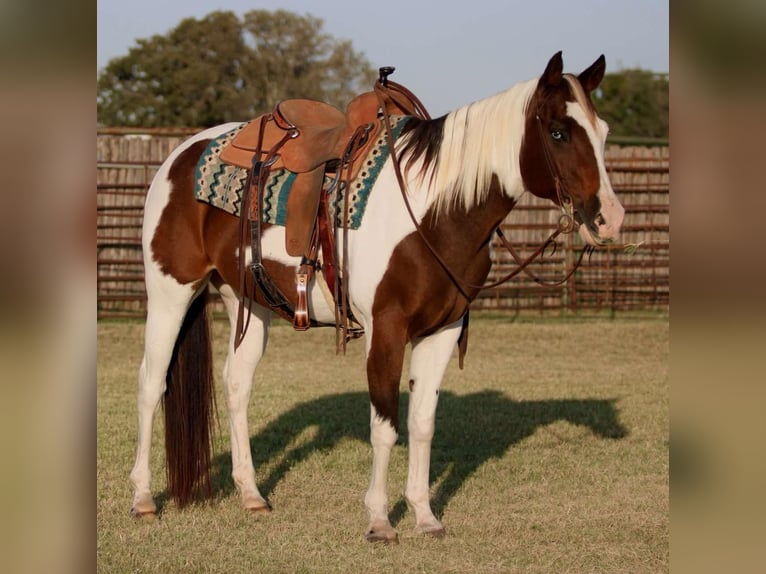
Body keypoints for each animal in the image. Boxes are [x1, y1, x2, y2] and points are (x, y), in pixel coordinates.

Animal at [129, 51, 625, 543]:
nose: (610, 218)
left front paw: (425, 516)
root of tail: (180, 155)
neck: (434, 212)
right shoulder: (385, 329)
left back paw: (251, 494)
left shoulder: (442, 331)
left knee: (237, 384)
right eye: (558, 132)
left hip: (245, 302)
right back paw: (144, 498)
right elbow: (385, 428)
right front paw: (380, 521)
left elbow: (422, 425)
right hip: (171, 292)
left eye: (603, 132)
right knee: (152, 384)